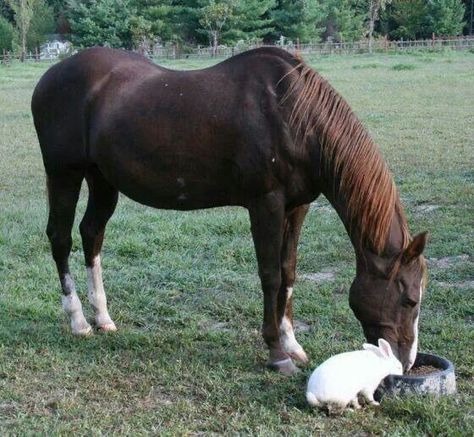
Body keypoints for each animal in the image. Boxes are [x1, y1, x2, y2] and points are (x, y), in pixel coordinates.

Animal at [31, 47, 428, 374]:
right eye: (409, 300)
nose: (406, 364)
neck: (294, 115)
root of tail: (51, 75)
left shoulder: (298, 206)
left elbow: (289, 272)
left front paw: (292, 343)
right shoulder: (265, 203)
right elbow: (270, 275)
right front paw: (276, 353)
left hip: (102, 180)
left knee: (91, 234)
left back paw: (103, 318)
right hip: (64, 174)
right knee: (61, 238)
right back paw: (79, 322)